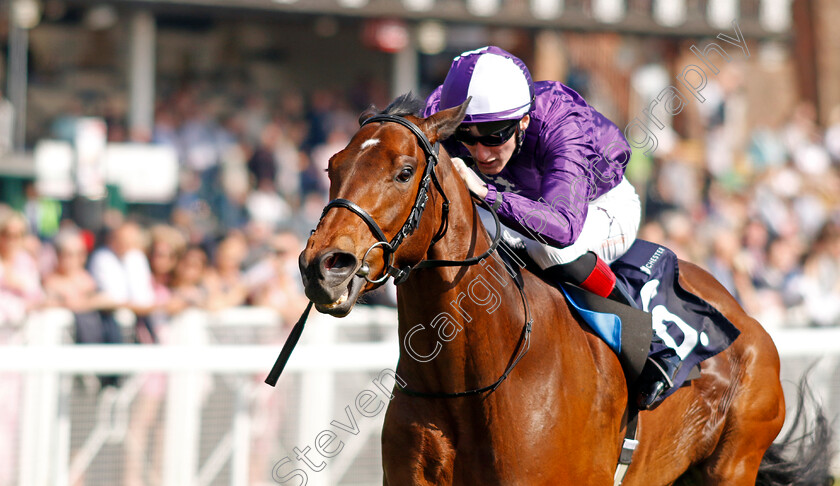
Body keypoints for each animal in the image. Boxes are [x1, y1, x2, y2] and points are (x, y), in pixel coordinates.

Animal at [298, 93, 832, 484]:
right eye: (331, 167)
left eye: (404, 171)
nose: (324, 265)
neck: (467, 381)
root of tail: (746, 318)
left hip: (735, 461)